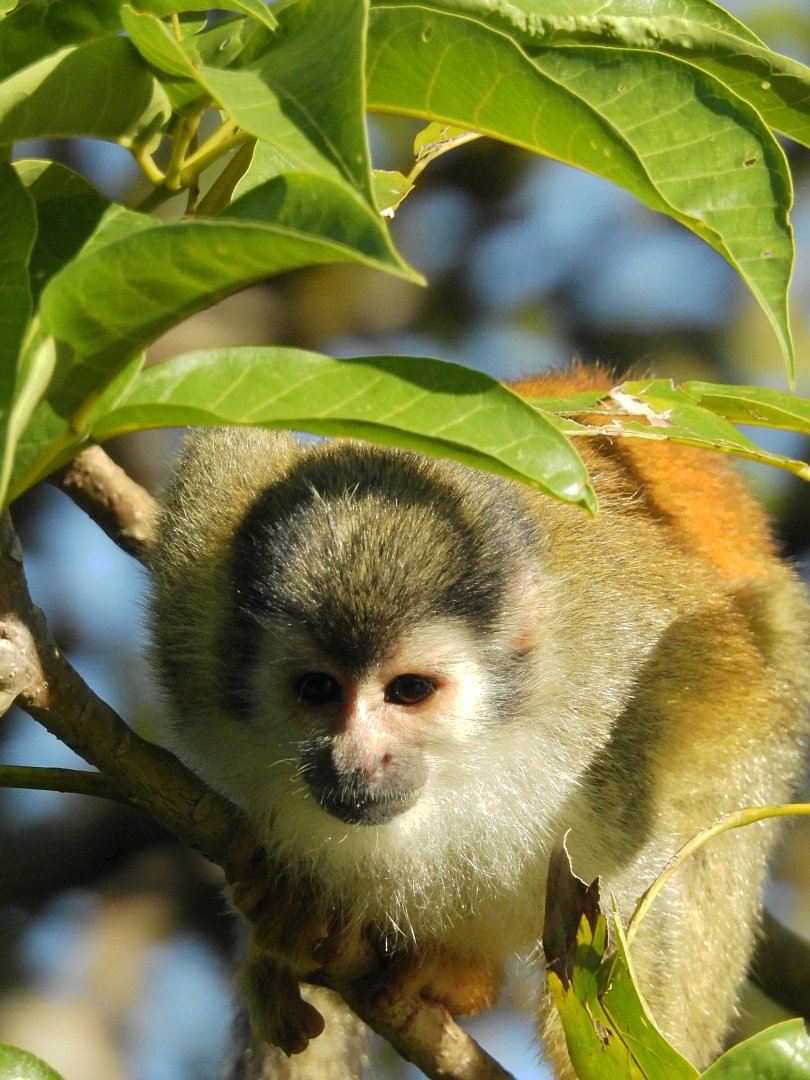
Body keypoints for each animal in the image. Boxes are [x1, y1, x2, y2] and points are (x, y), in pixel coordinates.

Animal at [147, 366, 810, 1079]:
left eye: (409, 691)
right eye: (318, 689)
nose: (357, 761)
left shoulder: (617, 703)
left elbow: (625, 919)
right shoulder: (196, 574)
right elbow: (222, 452)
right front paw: (288, 927)